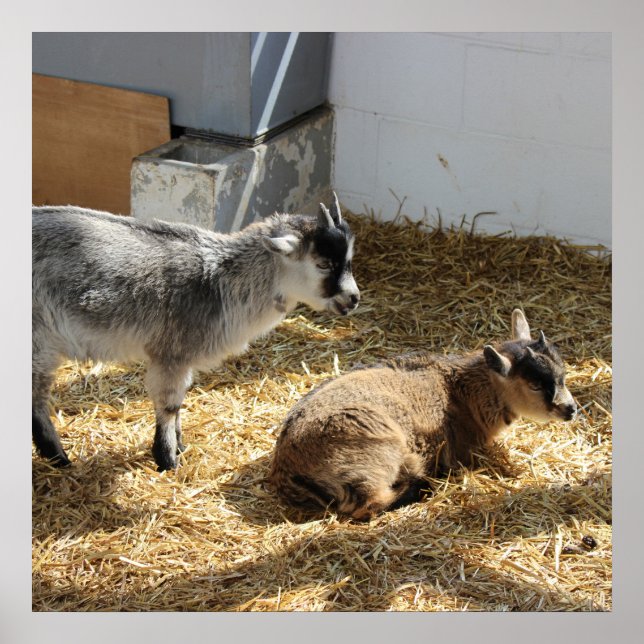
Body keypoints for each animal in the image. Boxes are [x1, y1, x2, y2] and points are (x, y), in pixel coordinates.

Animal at [32, 195, 359, 471]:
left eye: (349, 261)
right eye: (323, 264)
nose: (354, 299)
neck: (219, 282)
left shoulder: (182, 358)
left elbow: (179, 403)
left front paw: (179, 447)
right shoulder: (171, 352)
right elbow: (169, 404)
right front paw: (167, 460)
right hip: (40, 342)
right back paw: (59, 457)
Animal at [269, 309, 577, 520]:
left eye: (562, 373)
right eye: (535, 384)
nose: (570, 409)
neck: (462, 391)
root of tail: (289, 470)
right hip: (374, 454)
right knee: (368, 505)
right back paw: (422, 487)